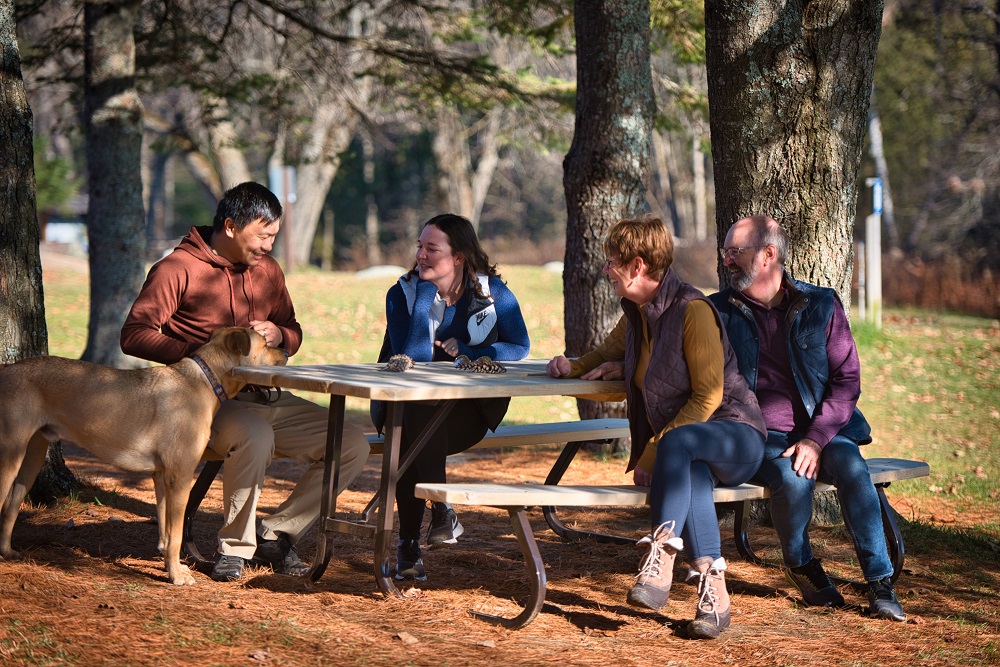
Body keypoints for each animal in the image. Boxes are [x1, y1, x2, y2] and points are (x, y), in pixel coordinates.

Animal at [0, 328, 286, 584]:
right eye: (265, 343)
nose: (285, 350)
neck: (205, 380)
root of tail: (7, 369)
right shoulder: (180, 478)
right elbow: (177, 534)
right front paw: (177, 576)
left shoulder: (161, 476)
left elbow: (166, 532)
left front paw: (170, 567)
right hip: (10, 455)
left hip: (33, 457)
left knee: (10, 507)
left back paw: (7, 552)